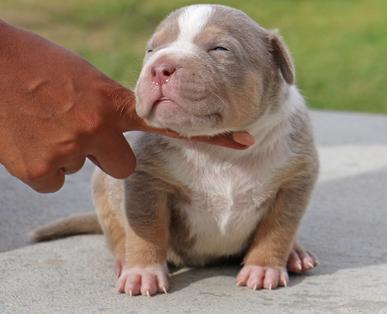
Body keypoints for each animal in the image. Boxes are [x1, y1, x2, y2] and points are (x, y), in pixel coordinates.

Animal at [32, 3, 318, 296]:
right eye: (151, 49)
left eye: (220, 49)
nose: (160, 68)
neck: (216, 149)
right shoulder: (145, 181)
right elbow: (146, 230)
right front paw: (142, 272)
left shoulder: (294, 181)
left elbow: (277, 231)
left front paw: (263, 268)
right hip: (102, 187)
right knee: (117, 233)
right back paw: (125, 259)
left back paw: (296, 254)